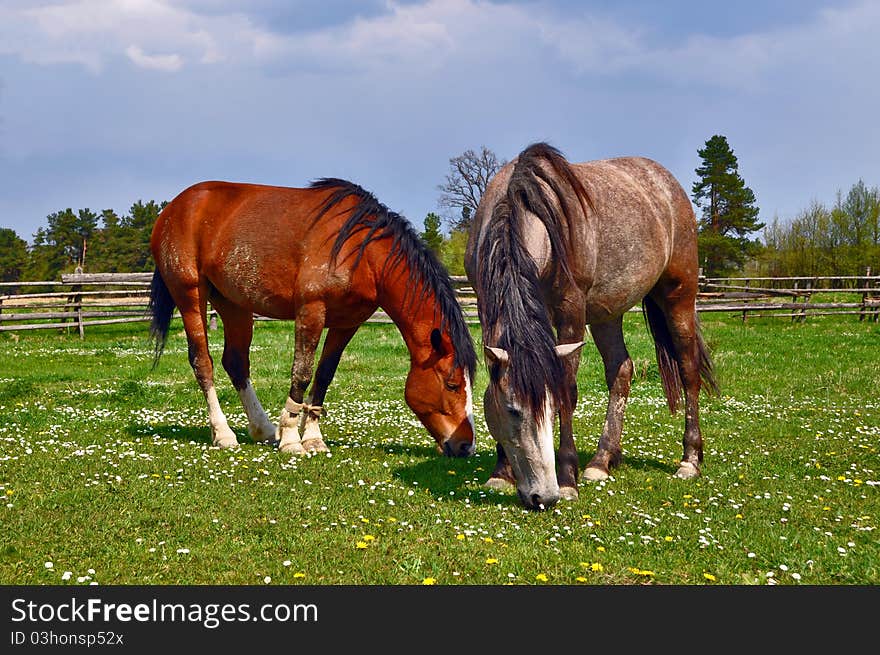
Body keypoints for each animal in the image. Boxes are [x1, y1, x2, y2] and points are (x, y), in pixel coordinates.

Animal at [152, 177, 482, 458]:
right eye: (452, 384)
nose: (466, 446)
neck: (362, 252)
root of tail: (174, 208)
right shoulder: (311, 311)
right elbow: (302, 373)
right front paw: (290, 438)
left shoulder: (346, 323)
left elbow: (324, 375)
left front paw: (312, 438)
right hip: (190, 295)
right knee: (202, 362)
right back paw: (224, 434)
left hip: (234, 305)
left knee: (235, 362)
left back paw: (263, 428)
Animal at [464, 144, 720, 512]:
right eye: (512, 410)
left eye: (551, 410)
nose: (544, 496)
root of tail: (668, 184)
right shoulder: (488, 310)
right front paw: (500, 473)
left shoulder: (571, 313)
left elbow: (568, 391)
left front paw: (568, 478)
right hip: (606, 314)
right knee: (621, 369)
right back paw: (603, 460)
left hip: (678, 299)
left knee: (688, 371)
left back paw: (689, 460)